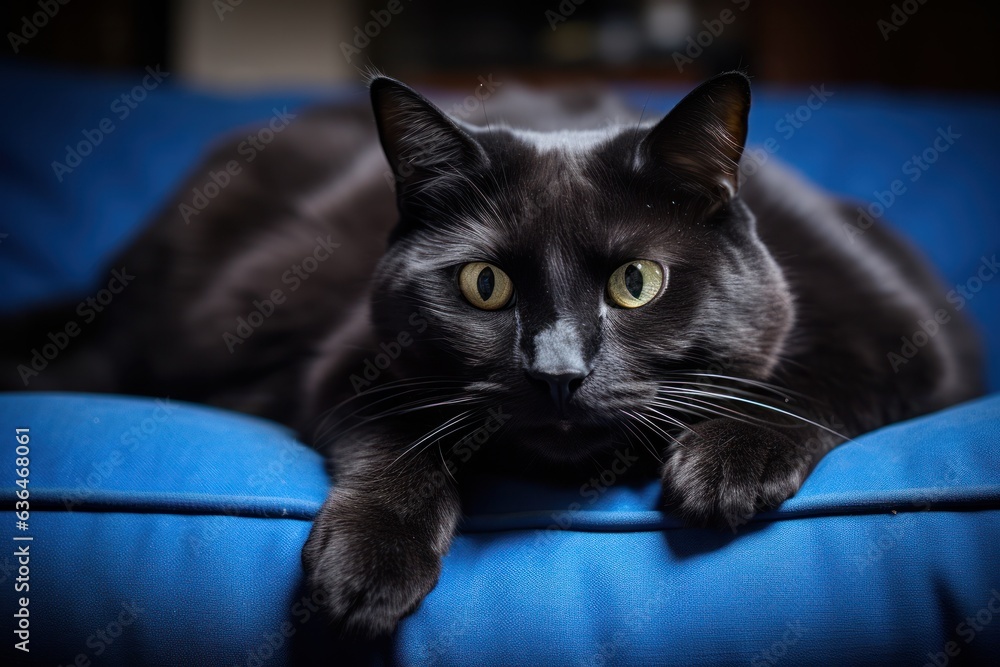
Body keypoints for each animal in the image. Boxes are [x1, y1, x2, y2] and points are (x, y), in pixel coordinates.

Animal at [1, 72, 984, 636]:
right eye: (485, 285)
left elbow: (816, 381)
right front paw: (369, 568)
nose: (557, 371)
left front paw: (727, 462)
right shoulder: (350, 366)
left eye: (636, 282)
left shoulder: (922, 338)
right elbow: (404, 443)